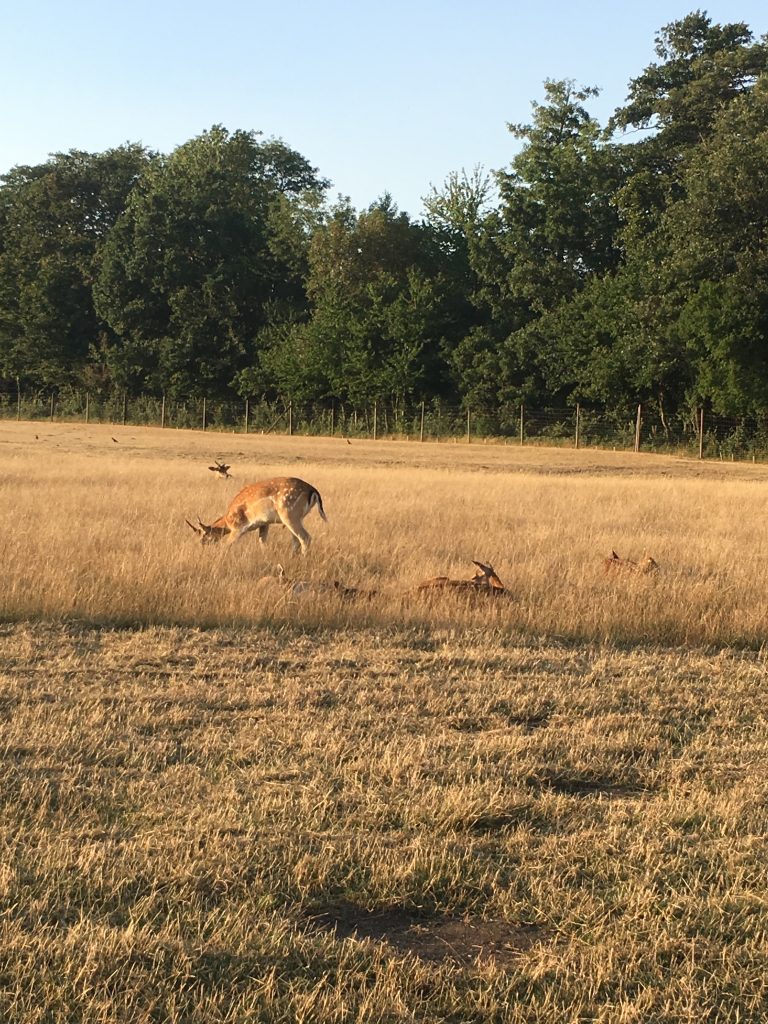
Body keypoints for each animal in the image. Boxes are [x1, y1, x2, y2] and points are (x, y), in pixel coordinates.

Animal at [190, 477, 331, 557]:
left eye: (203, 534)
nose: (200, 544)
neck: (228, 520)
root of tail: (313, 491)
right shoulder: (264, 523)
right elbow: (262, 542)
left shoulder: (238, 528)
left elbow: (227, 545)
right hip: (298, 518)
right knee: (296, 539)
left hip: (290, 516)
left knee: (305, 537)